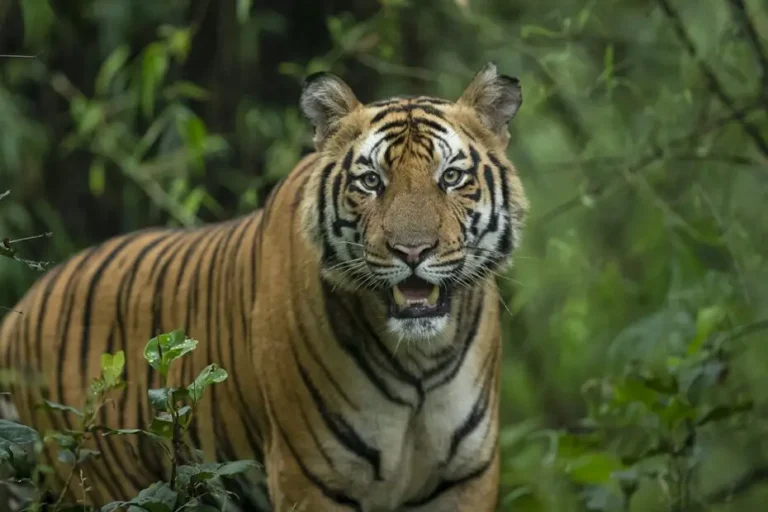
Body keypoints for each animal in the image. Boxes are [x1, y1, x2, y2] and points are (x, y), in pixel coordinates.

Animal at [0, 61, 528, 511]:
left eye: (451, 177)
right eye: (371, 181)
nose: (412, 252)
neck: (420, 358)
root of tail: (25, 304)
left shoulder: (467, 476)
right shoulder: (309, 475)